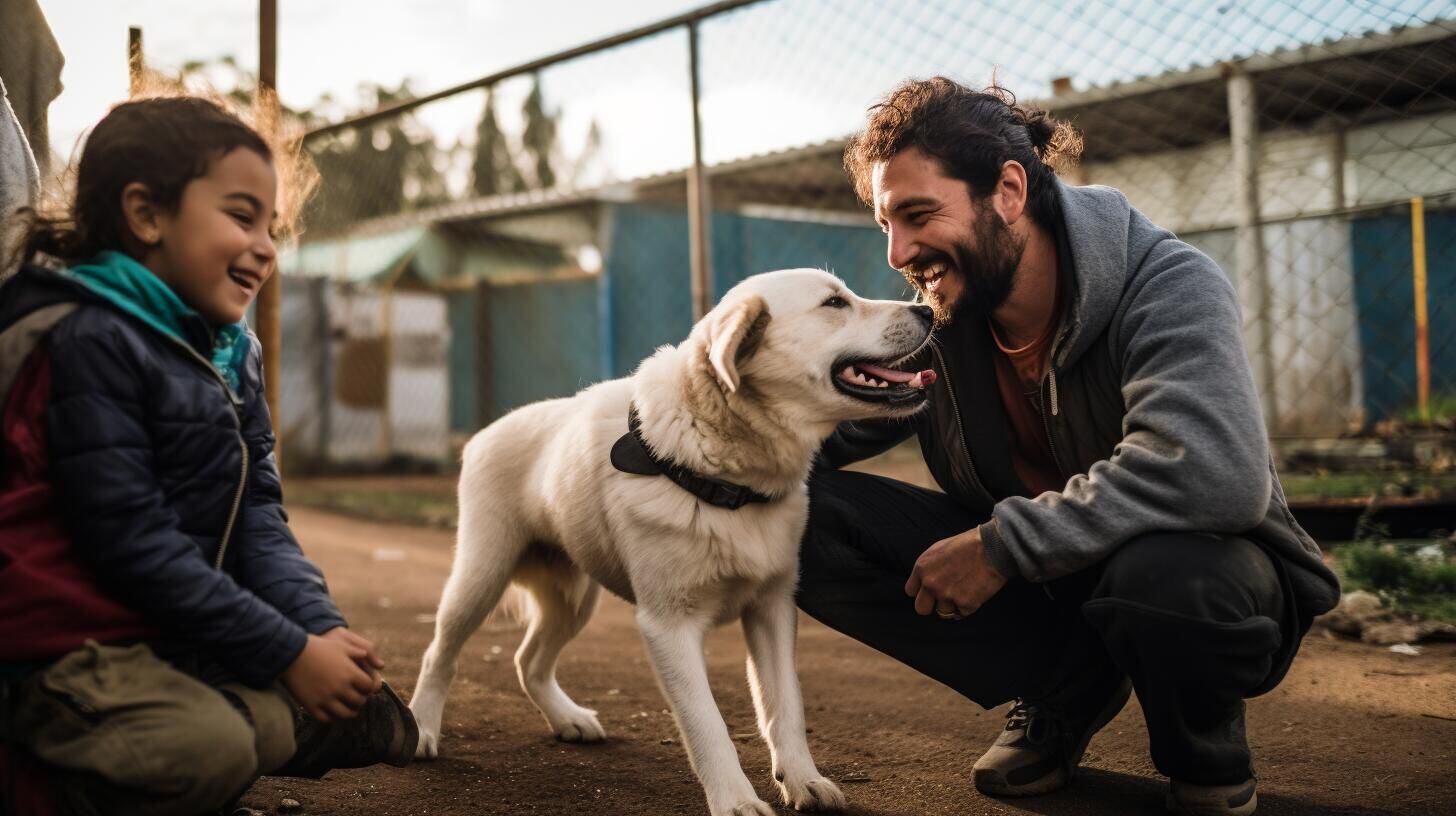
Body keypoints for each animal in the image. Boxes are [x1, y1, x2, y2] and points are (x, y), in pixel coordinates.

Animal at [410, 268, 931, 816]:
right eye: (834, 303)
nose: (928, 310)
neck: (728, 480)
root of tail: (483, 433)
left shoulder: (772, 607)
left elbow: (784, 706)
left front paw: (803, 779)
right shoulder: (669, 627)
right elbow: (707, 724)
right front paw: (736, 801)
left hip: (574, 599)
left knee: (527, 661)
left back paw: (567, 719)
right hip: (481, 577)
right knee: (439, 654)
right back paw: (421, 728)